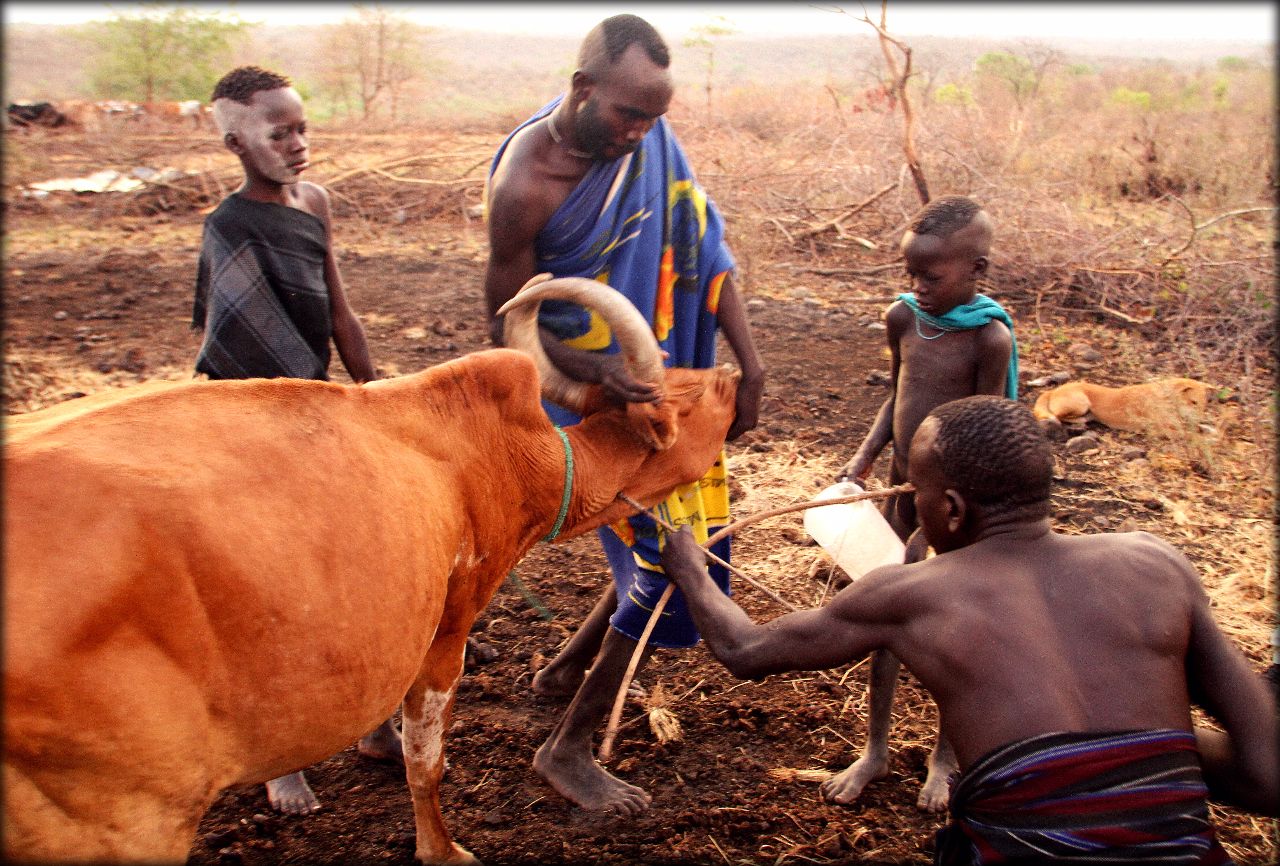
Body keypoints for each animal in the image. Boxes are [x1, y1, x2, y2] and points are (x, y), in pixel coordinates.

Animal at [2, 273, 742, 859]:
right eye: (691, 398)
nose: (732, 374)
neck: (514, 457)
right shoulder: (448, 630)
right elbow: (426, 762)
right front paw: (443, 850)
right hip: (131, 821)